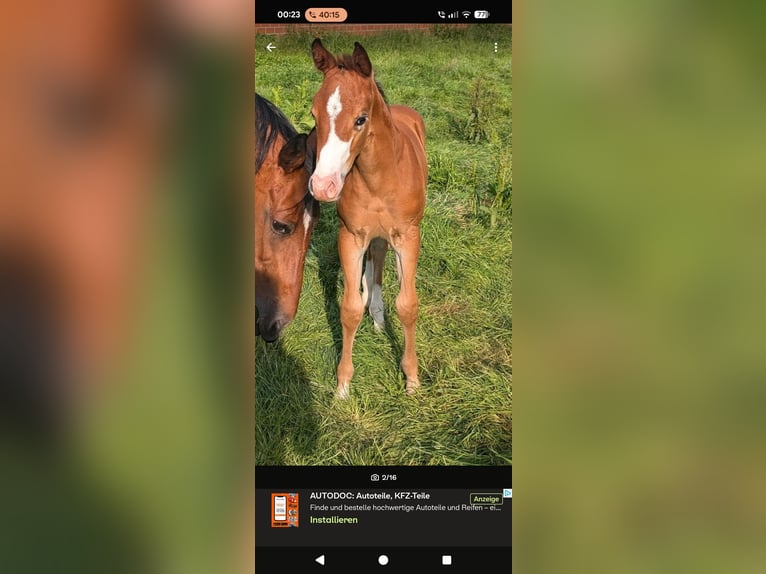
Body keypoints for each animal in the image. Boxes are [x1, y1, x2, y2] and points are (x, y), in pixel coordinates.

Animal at [308, 39, 428, 398]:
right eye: (314, 114)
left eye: (361, 119)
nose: (323, 186)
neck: (379, 177)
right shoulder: (351, 236)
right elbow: (348, 309)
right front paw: (342, 386)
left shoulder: (407, 236)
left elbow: (408, 305)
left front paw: (412, 379)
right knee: (374, 261)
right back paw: (374, 313)